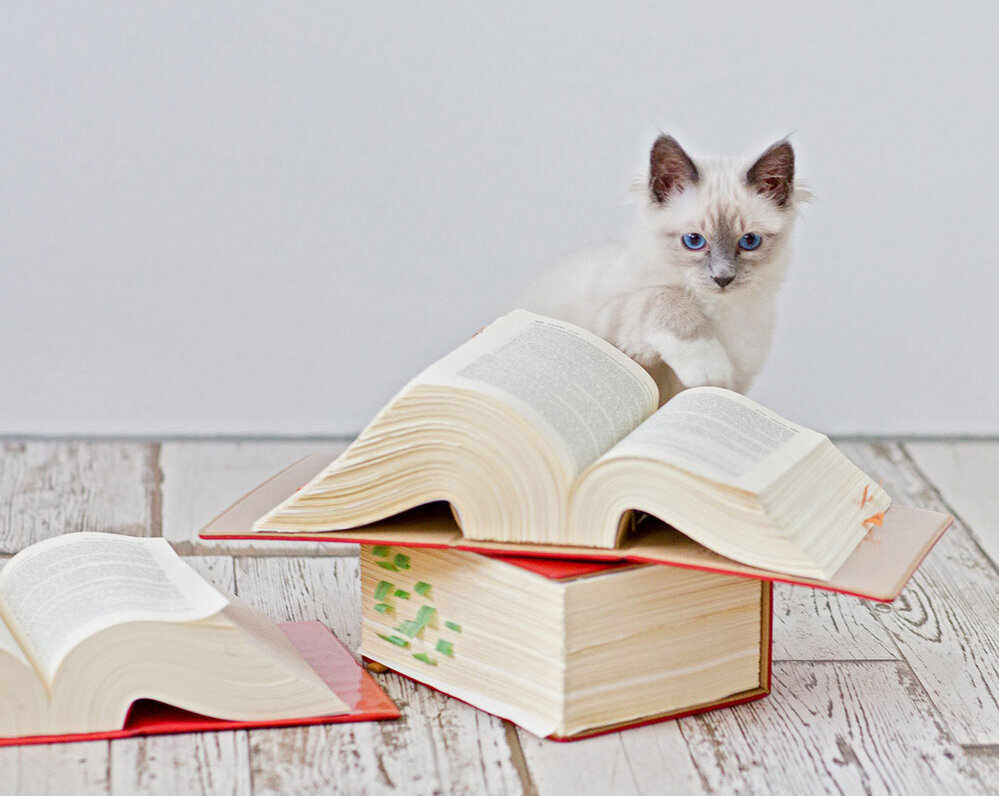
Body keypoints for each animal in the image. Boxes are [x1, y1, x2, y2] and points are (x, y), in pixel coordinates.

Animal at [520, 134, 808, 404]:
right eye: (694, 241)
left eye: (749, 241)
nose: (722, 278)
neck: (713, 310)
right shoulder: (611, 325)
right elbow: (665, 296)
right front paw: (707, 368)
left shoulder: (740, 379)